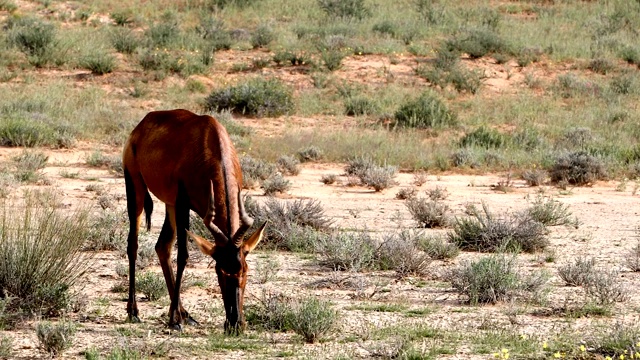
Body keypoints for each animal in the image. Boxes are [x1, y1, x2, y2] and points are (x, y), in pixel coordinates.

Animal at [122, 109, 264, 332]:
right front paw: (174, 321)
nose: (234, 323)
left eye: (245, 270)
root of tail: (140, 126)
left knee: (162, 246)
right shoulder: (183, 203)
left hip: (169, 203)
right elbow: (183, 256)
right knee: (133, 245)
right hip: (135, 186)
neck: (209, 140)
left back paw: (185, 313)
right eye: (219, 271)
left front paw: (177, 316)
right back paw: (134, 312)